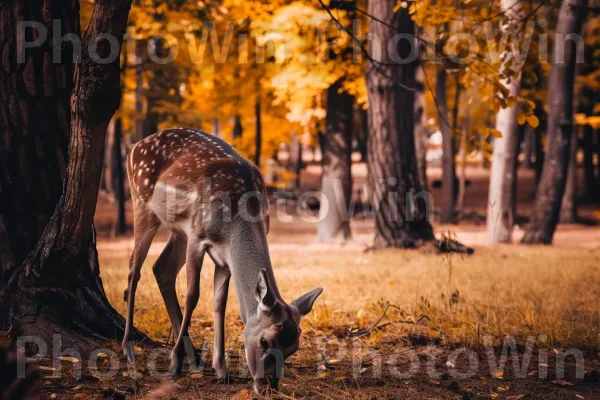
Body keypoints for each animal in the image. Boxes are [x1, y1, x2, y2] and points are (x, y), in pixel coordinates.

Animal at [120, 128, 324, 394]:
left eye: (293, 348)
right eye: (265, 341)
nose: (268, 386)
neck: (233, 225)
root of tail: (134, 147)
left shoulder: (224, 260)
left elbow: (220, 303)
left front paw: (221, 370)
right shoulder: (197, 236)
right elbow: (193, 296)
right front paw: (175, 363)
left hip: (178, 230)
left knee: (161, 268)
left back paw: (194, 357)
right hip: (143, 203)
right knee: (134, 270)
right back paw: (129, 348)